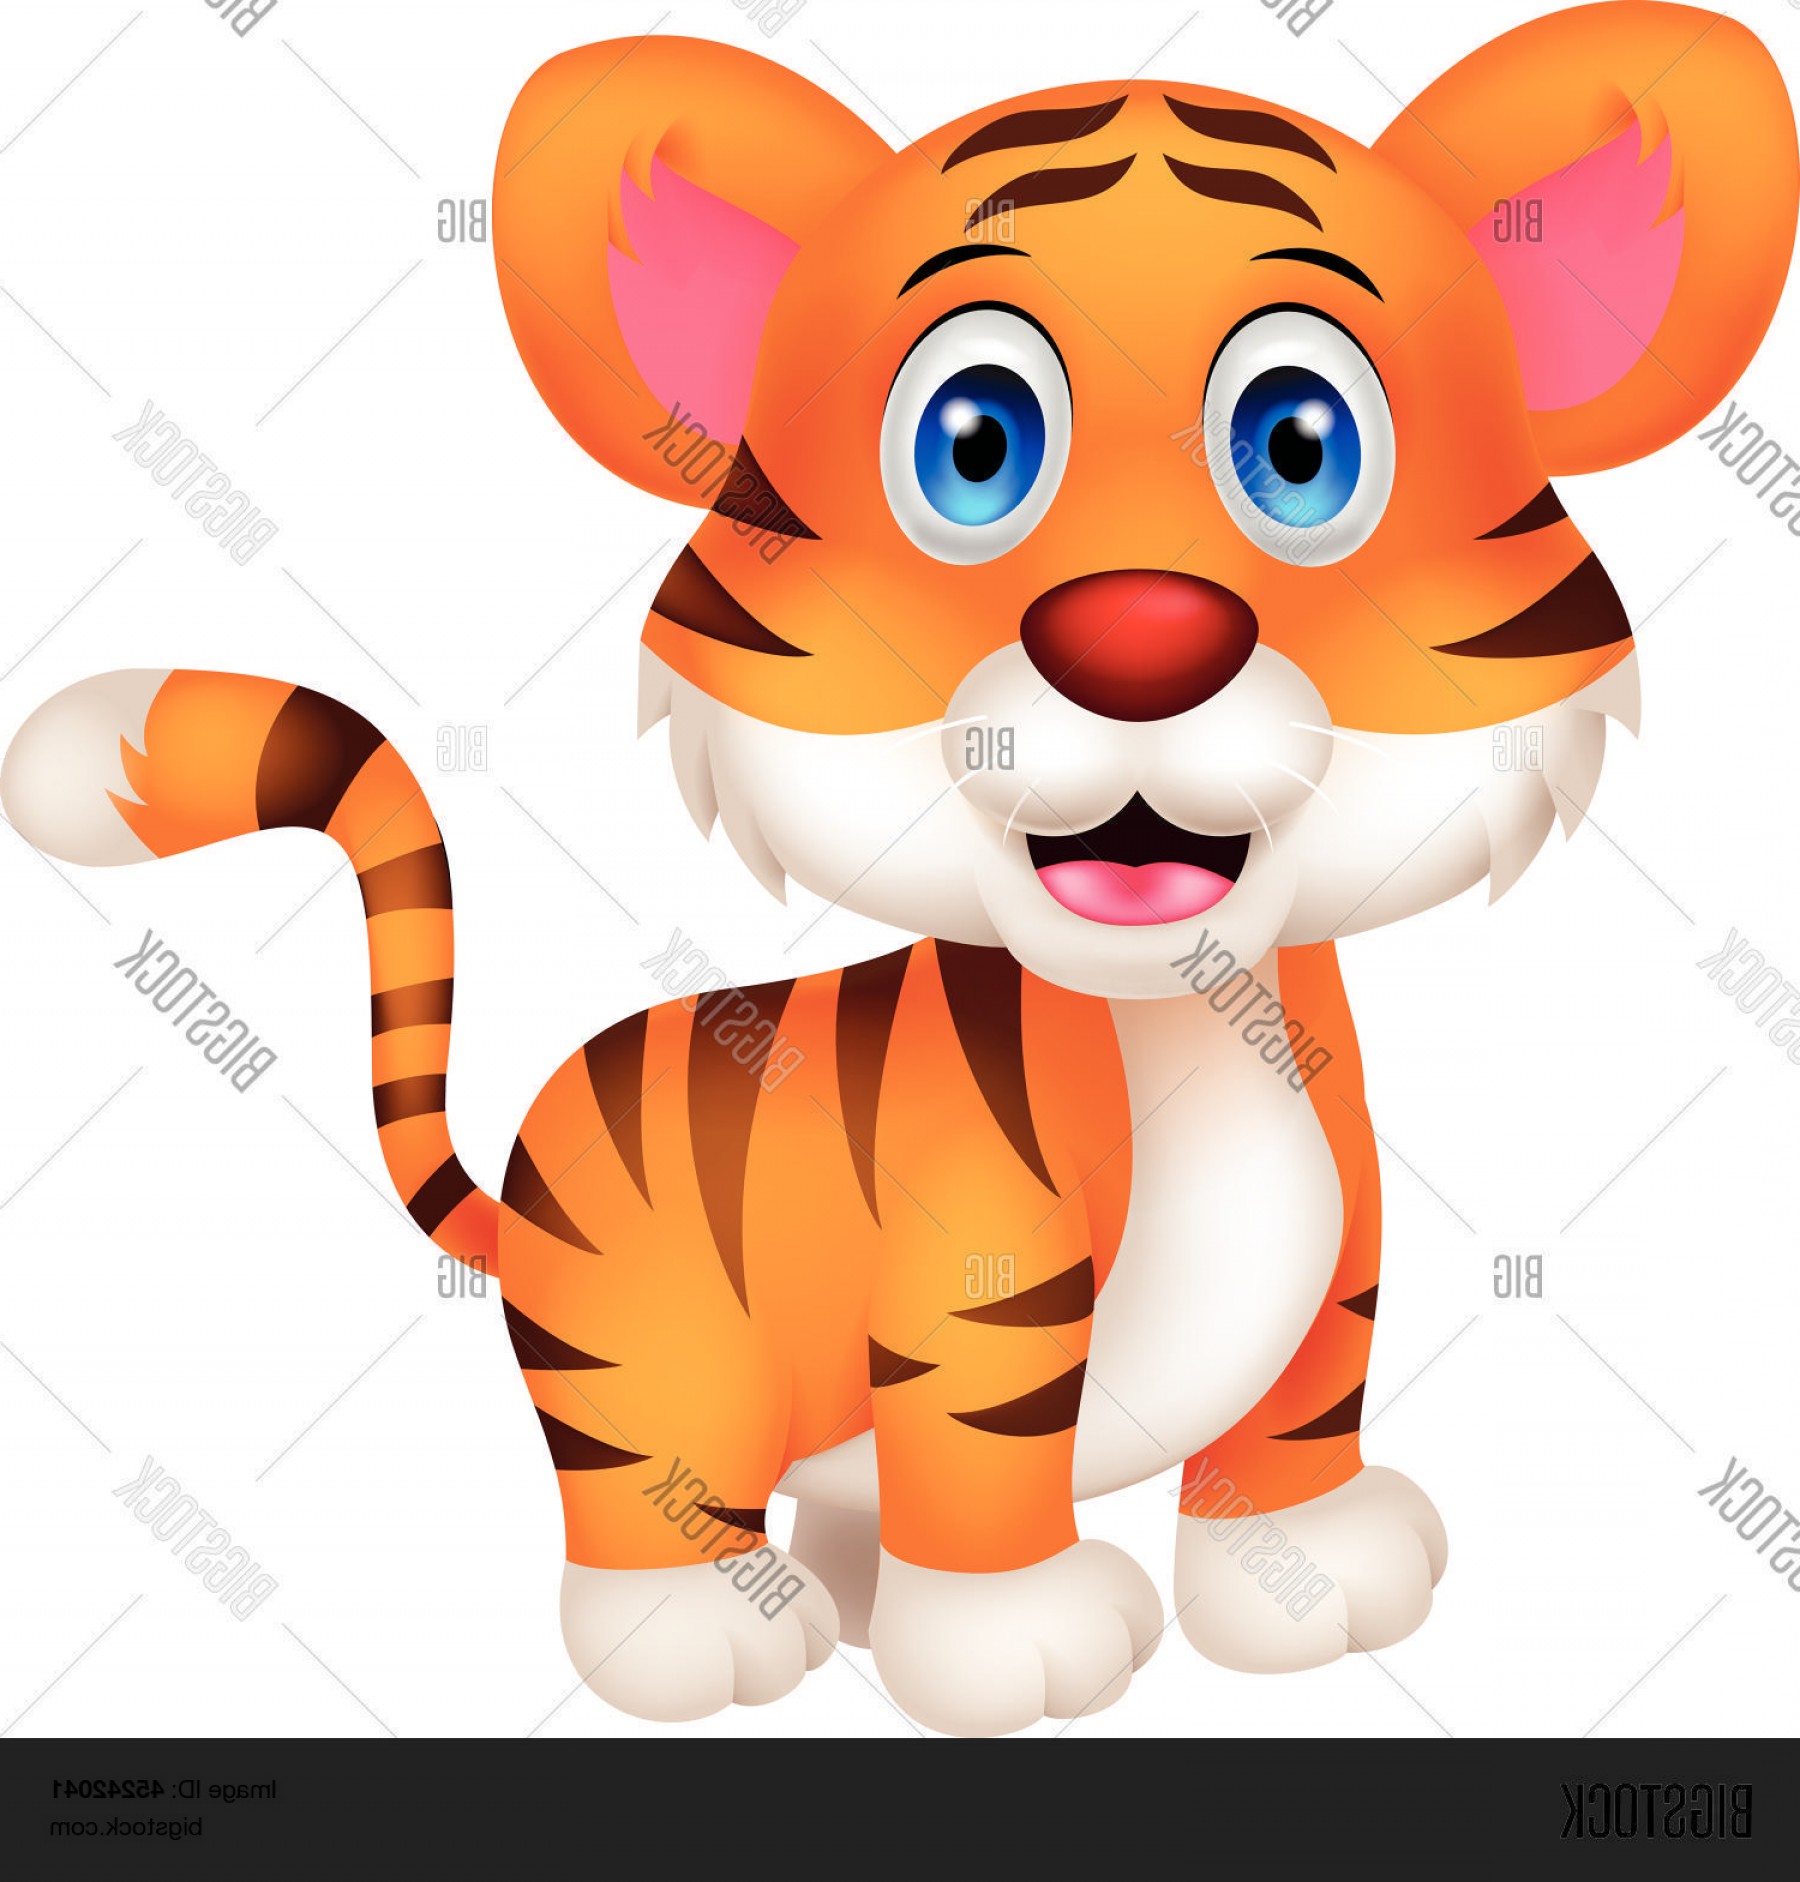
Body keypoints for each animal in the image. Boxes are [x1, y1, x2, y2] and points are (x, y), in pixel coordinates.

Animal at [4, 3, 1794, 1736]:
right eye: (974, 443)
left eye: (1302, 446)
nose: (1138, 639)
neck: (1178, 1021)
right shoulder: (976, 1296)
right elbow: (990, 1457)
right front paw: (1024, 1641)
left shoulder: (1337, 1265)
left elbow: (1304, 1406)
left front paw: (1313, 1571)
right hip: (654, 1373)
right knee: (651, 1497)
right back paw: (714, 1634)